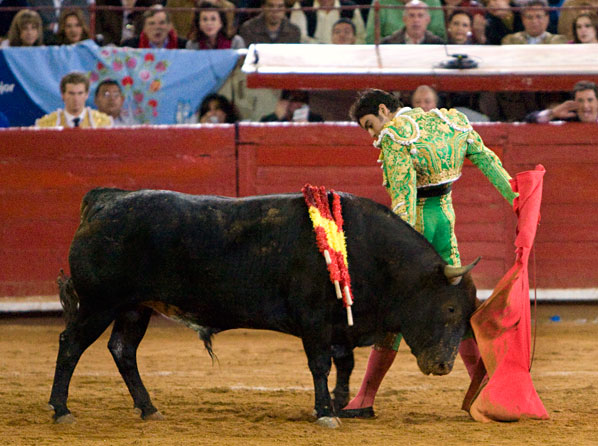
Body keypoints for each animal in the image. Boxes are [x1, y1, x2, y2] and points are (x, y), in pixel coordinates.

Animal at [49, 188, 479, 428]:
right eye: (450, 310)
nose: (443, 365)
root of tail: (106, 201)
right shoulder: (314, 321)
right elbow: (321, 365)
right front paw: (325, 412)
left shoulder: (341, 324)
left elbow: (345, 363)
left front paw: (340, 402)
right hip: (99, 304)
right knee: (71, 345)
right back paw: (61, 410)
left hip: (134, 307)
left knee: (123, 350)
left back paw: (149, 409)